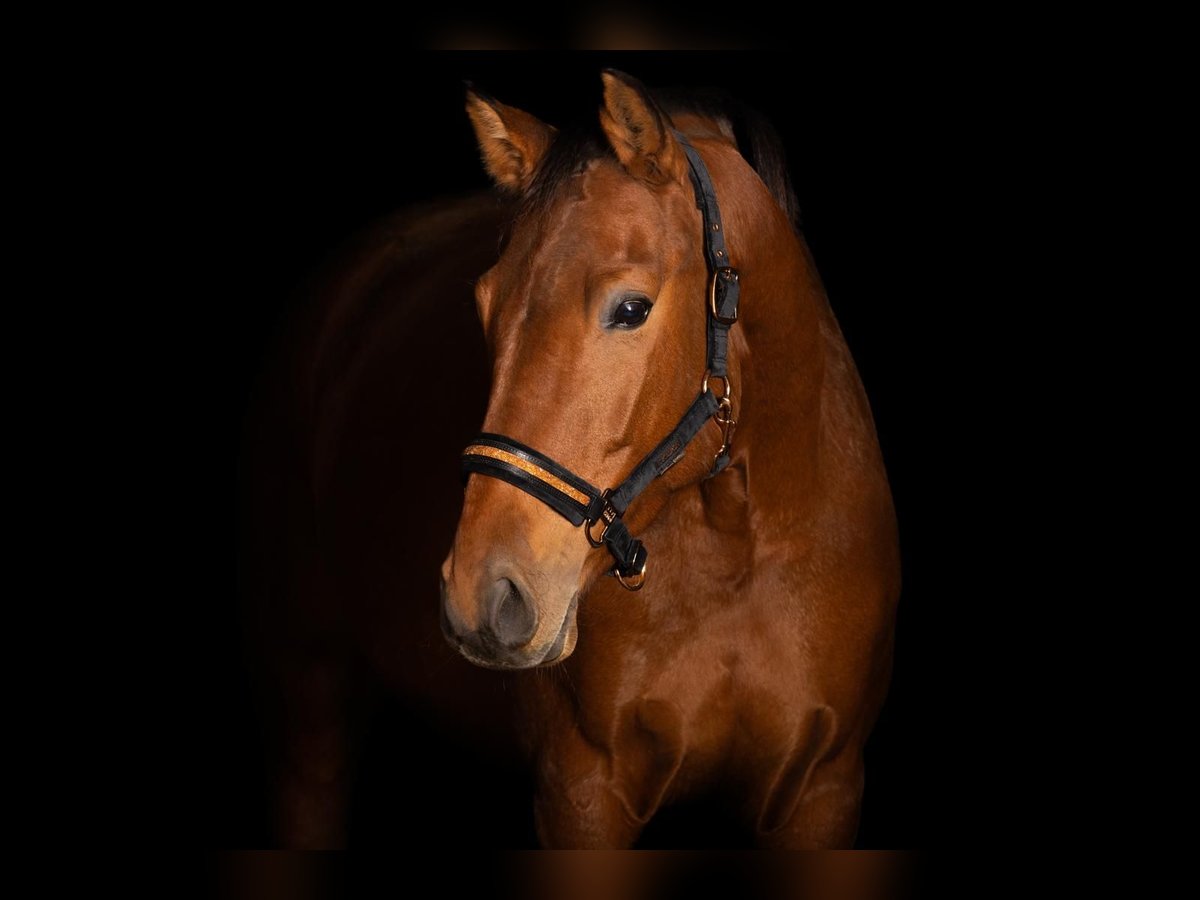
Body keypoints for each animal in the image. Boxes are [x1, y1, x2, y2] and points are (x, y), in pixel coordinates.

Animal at [241, 68, 902, 844]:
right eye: (485, 304)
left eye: (630, 308)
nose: (482, 594)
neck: (737, 552)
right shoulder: (580, 794)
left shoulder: (824, 789)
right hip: (307, 702)